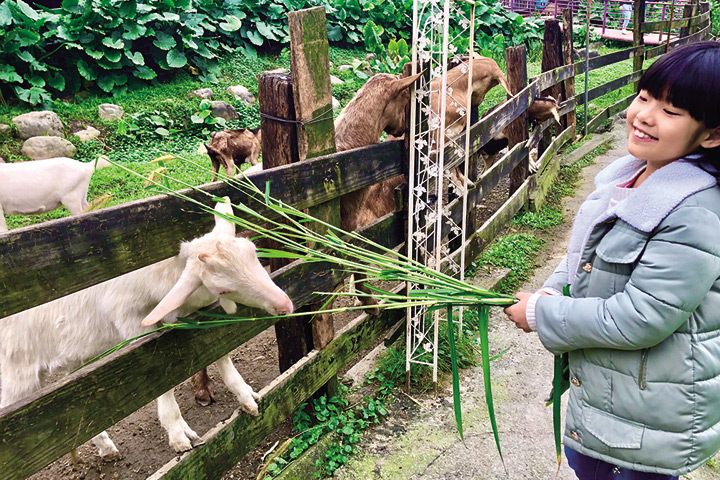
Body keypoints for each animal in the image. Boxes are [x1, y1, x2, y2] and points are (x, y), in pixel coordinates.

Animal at [0, 201, 294, 460]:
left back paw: (106, 448)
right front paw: (178, 434)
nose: (286, 305)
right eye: (223, 289)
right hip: (18, 372)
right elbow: (160, 376)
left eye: (254, 253)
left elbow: (219, 353)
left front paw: (245, 396)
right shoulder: (132, 322)